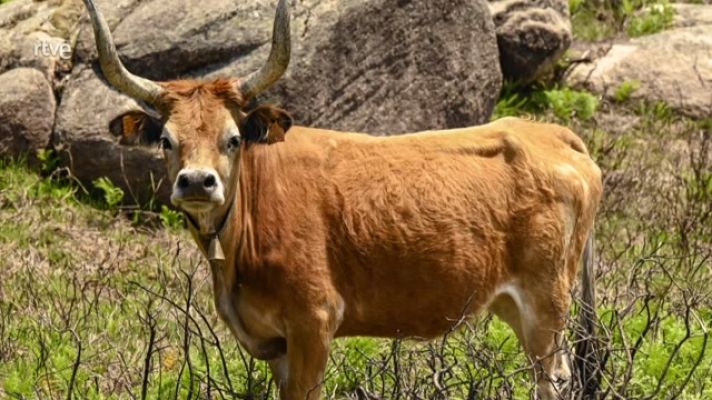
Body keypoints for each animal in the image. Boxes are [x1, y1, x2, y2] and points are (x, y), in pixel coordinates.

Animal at [82, 0, 602, 398]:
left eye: (233, 138)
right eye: (167, 140)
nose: (196, 182)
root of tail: (548, 132)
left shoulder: (313, 323)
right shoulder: (277, 344)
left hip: (547, 304)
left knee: (555, 381)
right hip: (515, 304)